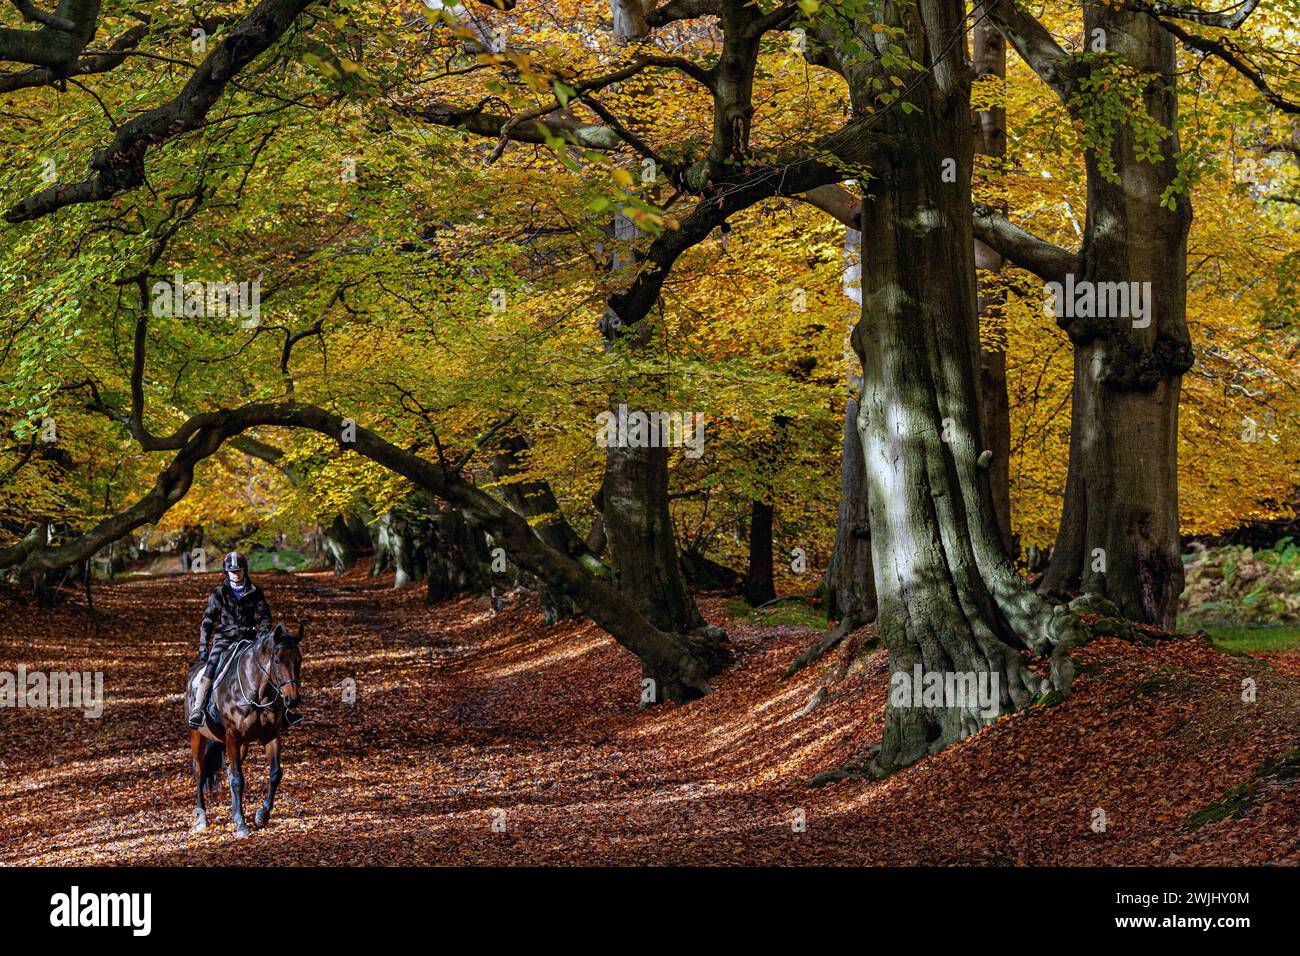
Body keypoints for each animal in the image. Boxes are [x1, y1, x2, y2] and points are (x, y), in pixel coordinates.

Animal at [184, 622, 302, 837]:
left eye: (299, 659)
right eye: (278, 660)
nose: (293, 700)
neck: (258, 692)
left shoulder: (271, 735)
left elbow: (275, 774)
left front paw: (261, 815)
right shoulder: (233, 735)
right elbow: (238, 778)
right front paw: (241, 824)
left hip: (242, 744)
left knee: (229, 771)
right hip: (197, 734)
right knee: (199, 771)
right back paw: (201, 818)